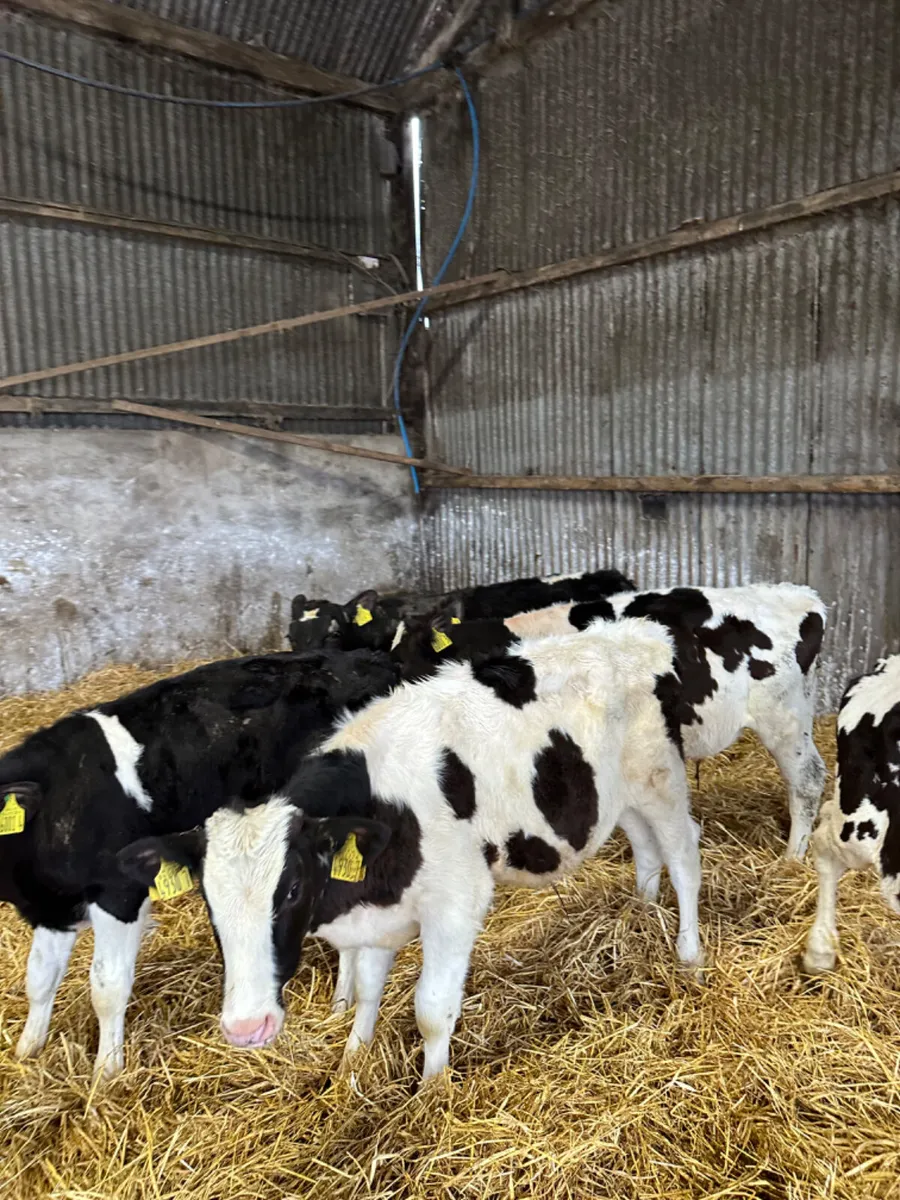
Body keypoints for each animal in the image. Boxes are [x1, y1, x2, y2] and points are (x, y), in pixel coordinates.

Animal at [0, 648, 398, 1078]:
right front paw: (27, 1050)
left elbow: (107, 988)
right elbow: (39, 977)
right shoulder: (50, 910)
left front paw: (106, 1073)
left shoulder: (118, 892)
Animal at [118, 617, 703, 1081]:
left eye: (291, 889)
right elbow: (368, 990)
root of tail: (635, 634)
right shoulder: (379, 909)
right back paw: (641, 912)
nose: (246, 1027)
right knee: (646, 849)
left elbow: (431, 1008)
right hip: (619, 795)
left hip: (660, 778)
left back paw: (689, 954)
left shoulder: (457, 901)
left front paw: (432, 1090)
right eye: (208, 903)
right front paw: (353, 1060)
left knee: (683, 856)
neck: (385, 803)